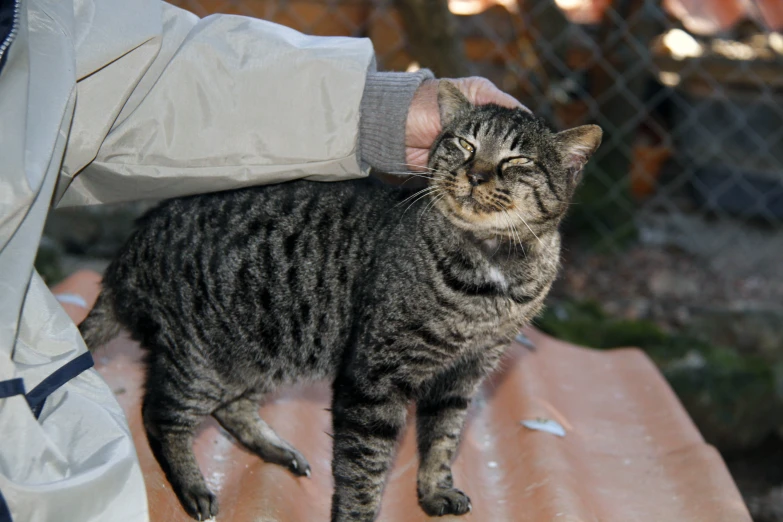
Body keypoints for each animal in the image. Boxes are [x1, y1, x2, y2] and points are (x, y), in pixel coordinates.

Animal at [79, 79, 604, 516]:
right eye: (465, 144)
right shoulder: (374, 376)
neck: (494, 274)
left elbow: (442, 440)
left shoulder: (464, 374)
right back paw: (193, 487)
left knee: (229, 408)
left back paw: (277, 449)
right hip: (202, 359)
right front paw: (358, 513)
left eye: (517, 161)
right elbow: (363, 470)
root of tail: (128, 253)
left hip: (264, 355)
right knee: (158, 413)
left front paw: (434, 491)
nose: (475, 175)